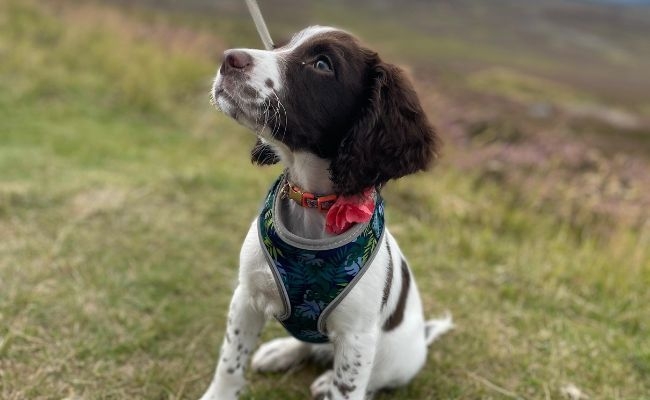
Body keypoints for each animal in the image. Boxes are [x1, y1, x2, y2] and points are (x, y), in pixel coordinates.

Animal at [201, 25, 450, 400]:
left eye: (321, 64)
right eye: (277, 46)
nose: (228, 58)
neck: (314, 207)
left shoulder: (357, 337)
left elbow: (347, 389)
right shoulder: (246, 297)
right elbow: (230, 363)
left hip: (396, 358)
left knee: (370, 379)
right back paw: (281, 352)